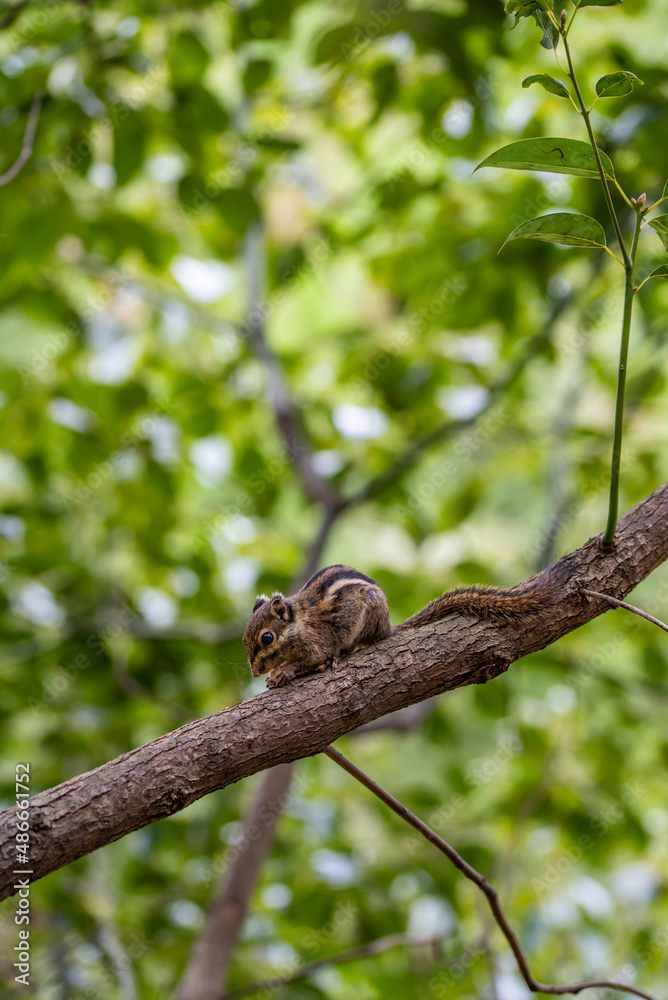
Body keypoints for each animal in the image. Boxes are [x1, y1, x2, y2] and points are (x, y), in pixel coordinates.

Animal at [241, 564, 564, 688]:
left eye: (267, 638)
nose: (255, 672)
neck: (299, 624)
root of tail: (387, 627)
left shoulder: (318, 643)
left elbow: (314, 660)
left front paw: (283, 672)